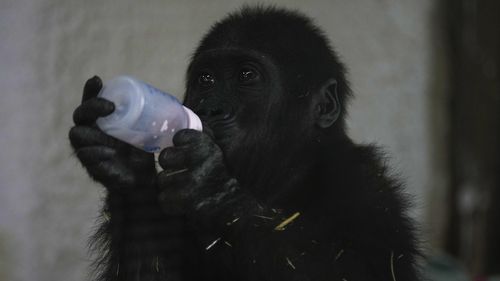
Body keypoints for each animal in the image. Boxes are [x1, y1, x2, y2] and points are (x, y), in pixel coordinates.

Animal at [69, 6, 422, 280]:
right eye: (206, 79)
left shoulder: (366, 189)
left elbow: (352, 271)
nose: (211, 109)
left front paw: (211, 190)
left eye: (246, 76)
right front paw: (125, 163)